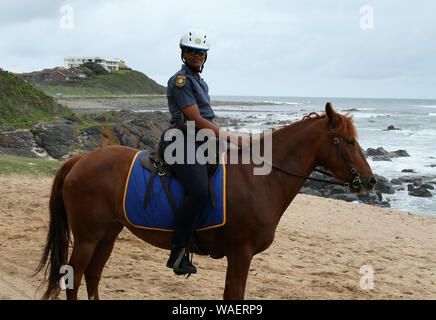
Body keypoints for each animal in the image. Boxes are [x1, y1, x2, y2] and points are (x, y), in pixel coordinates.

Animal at [35, 102, 374, 300]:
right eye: (348, 142)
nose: (371, 181)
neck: (260, 178)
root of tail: (81, 159)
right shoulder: (241, 255)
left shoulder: (238, 258)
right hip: (88, 237)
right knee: (74, 277)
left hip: (107, 233)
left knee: (93, 274)